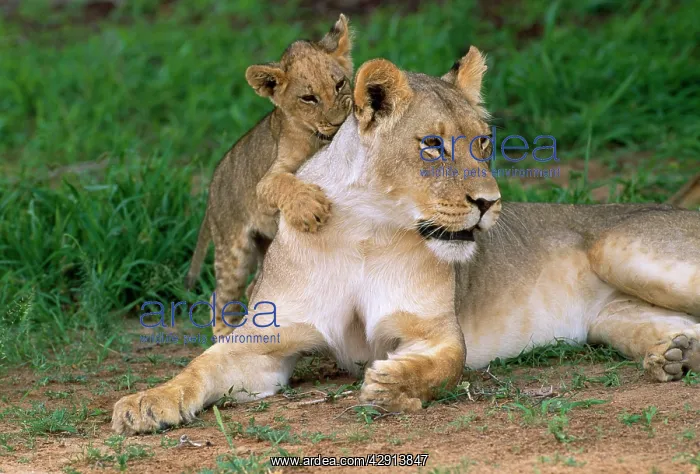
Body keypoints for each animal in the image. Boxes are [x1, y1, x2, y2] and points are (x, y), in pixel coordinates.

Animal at [113, 48, 501, 435]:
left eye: (483, 141)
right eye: (432, 145)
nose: (489, 202)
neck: (368, 228)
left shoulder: (436, 332)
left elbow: (446, 365)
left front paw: (393, 384)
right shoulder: (265, 338)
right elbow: (199, 367)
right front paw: (146, 402)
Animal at [184, 14, 354, 337]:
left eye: (339, 84)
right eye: (308, 98)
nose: (339, 123)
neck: (317, 139)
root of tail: (210, 193)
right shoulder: (266, 181)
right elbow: (281, 182)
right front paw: (309, 209)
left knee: (254, 289)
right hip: (234, 250)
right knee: (220, 296)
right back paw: (225, 335)